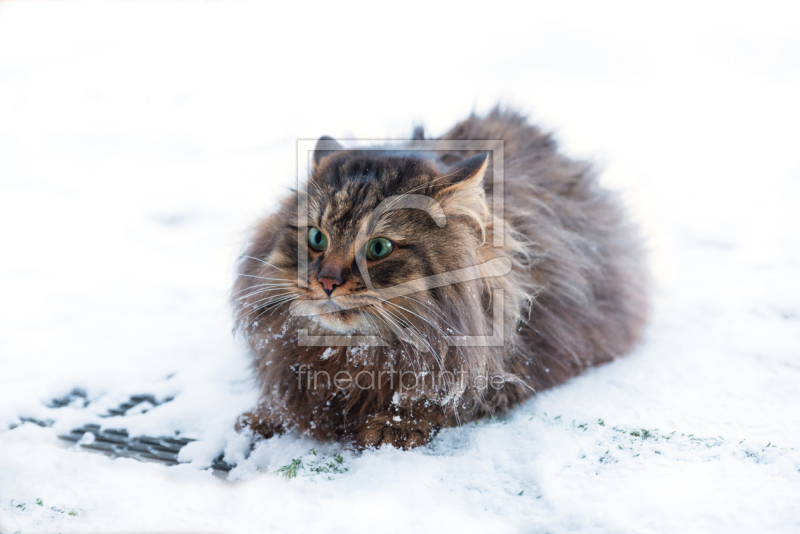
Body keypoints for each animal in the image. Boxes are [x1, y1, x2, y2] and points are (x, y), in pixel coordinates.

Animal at [231, 109, 648, 452]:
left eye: (379, 247)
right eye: (317, 239)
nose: (327, 281)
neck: (350, 351)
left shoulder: (515, 368)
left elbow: (442, 400)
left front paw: (391, 426)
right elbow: (286, 402)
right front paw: (265, 418)